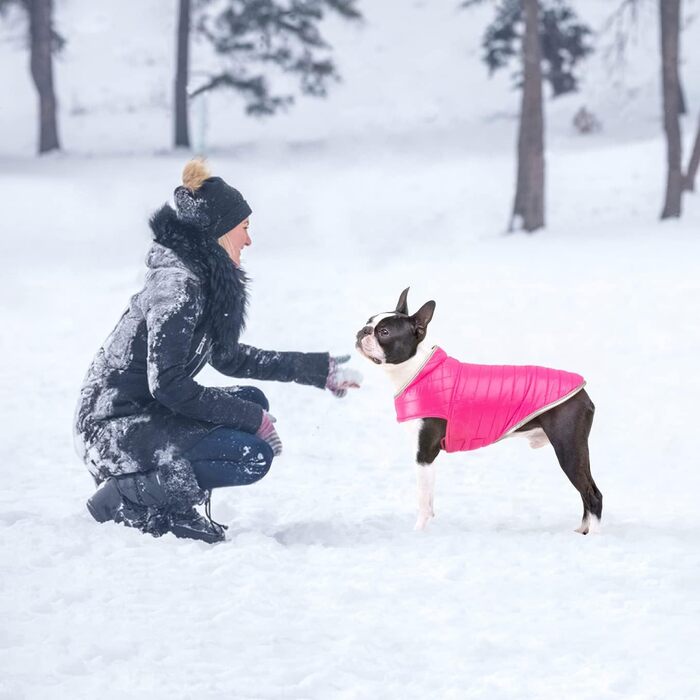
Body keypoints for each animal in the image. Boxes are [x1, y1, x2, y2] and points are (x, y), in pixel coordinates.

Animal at [356, 288, 600, 532]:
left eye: (384, 332)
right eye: (368, 321)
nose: (362, 331)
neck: (416, 370)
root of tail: (583, 393)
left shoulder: (424, 454)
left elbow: (423, 500)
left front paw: (418, 532)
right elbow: (430, 499)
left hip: (568, 449)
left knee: (593, 495)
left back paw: (594, 534)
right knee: (586, 493)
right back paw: (583, 530)